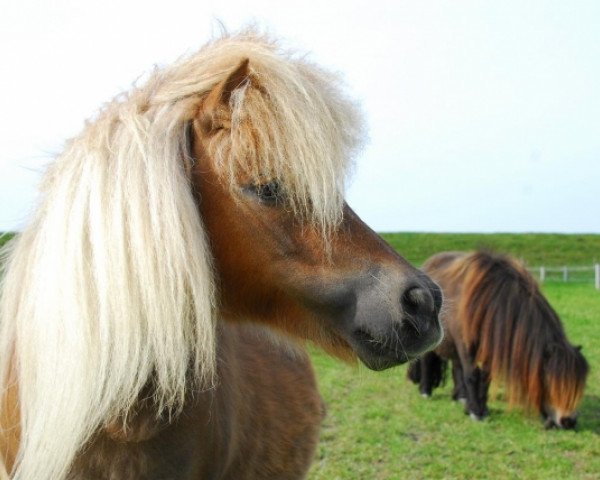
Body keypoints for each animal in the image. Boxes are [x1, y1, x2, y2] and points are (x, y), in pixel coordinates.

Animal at [406, 249, 588, 430]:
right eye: (551, 381)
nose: (568, 421)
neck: (485, 302)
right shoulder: (467, 347)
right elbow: (472, 375)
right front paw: (475, 412)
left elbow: (485, 378)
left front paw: (481, 409)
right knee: (428, 362)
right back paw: (426, 391)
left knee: (456, 367)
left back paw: (461, 396)